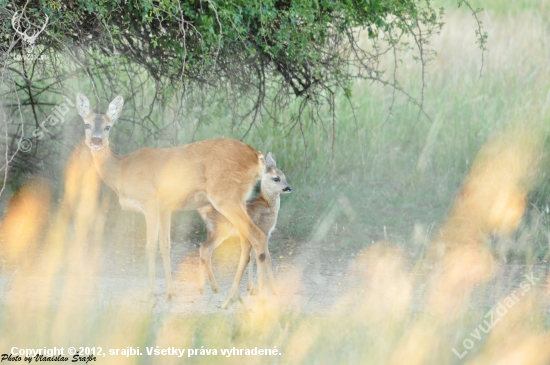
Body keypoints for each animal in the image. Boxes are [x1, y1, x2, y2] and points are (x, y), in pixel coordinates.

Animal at [76, 91, 270, 308]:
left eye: (108, 126)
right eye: (87, 124)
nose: (96, 141)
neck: (121, 171)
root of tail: (257, 157)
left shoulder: (150, 202)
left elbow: (150, 245)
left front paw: (149, 294)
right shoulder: (165, 208)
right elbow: (166, 245)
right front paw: (170, 293)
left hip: (225, 196)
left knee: (257, 237)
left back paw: (252, 298)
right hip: (239, 198)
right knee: (247, 241)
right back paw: (232, 298)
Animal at [198, 152, 294, 294]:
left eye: (284, 176)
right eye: (276, 178)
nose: (289, 188)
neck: (268, 205)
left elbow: (253, 256)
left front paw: (251, 288)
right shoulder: (265, 231)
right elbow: (267, 259)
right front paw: (274, 290)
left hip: (211, 230)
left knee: (204, 251)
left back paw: (208, 287)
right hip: (221, 231)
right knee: (205, 249)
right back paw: (208, 288)